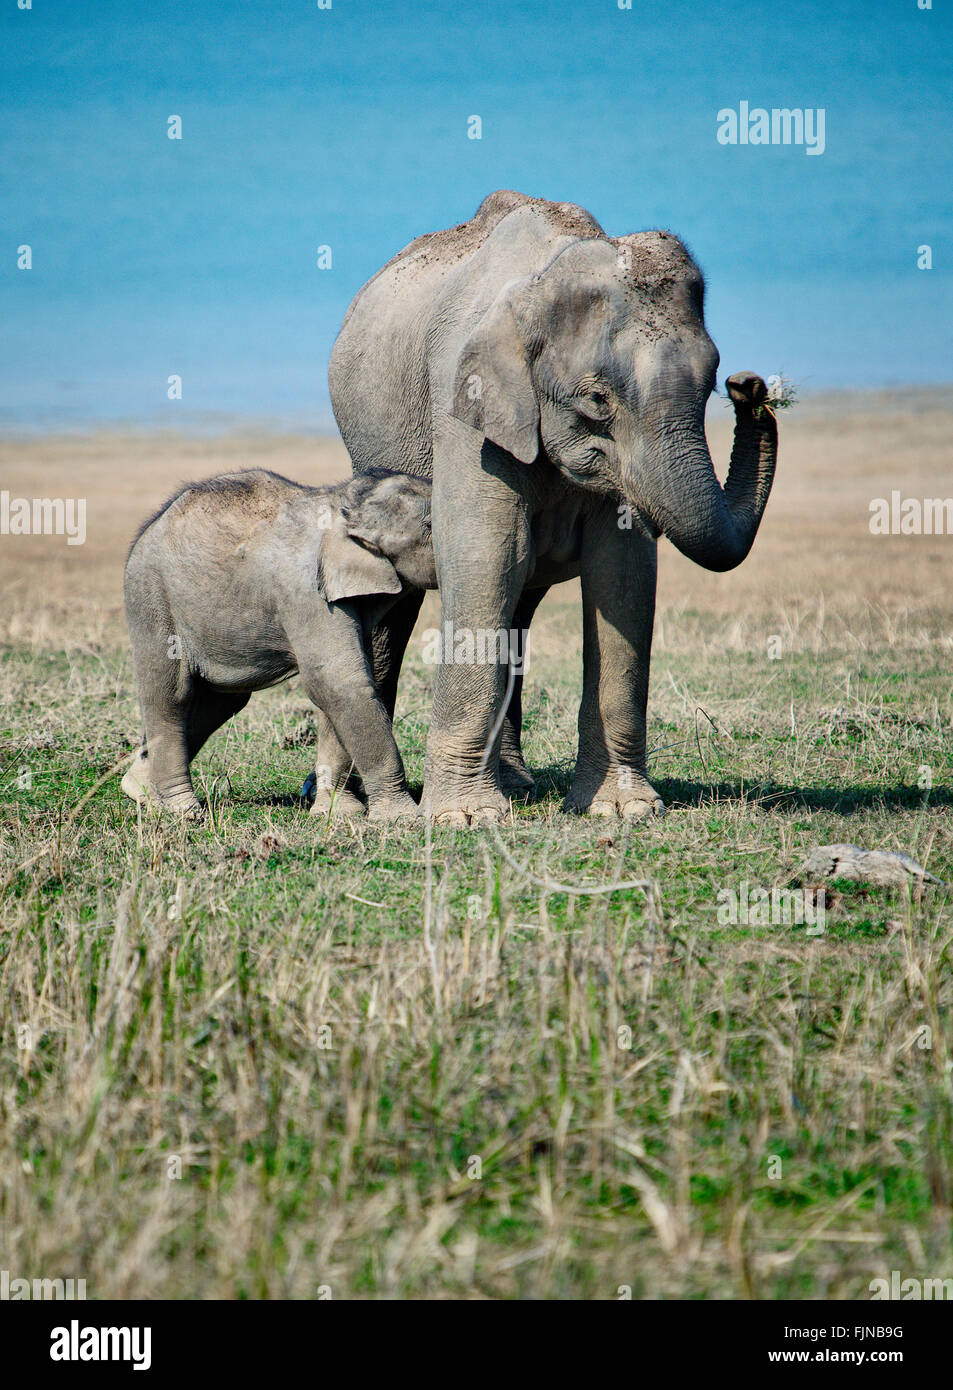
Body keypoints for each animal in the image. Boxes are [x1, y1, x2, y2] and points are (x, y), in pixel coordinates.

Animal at [121, 467, 436, 817]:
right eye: (431, 526)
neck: (341, 500)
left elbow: (348, 683)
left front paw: (338, 813)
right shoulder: (306, 595)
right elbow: (336, 682)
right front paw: (403, 817)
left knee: (221, 700)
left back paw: (142, 791)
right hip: (151, 596)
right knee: (172, 695)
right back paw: (183, 811)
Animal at [316, 194, 777, 822]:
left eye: (710, 384)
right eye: (597, 400)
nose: (749, 386)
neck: (546, 275)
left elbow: (622, 575)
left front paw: (624, 810)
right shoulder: (470, 407)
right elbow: (486, 556)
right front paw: (464, 818)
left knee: (520, 605)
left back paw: (514, 784)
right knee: (399, 607)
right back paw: (346, 804)